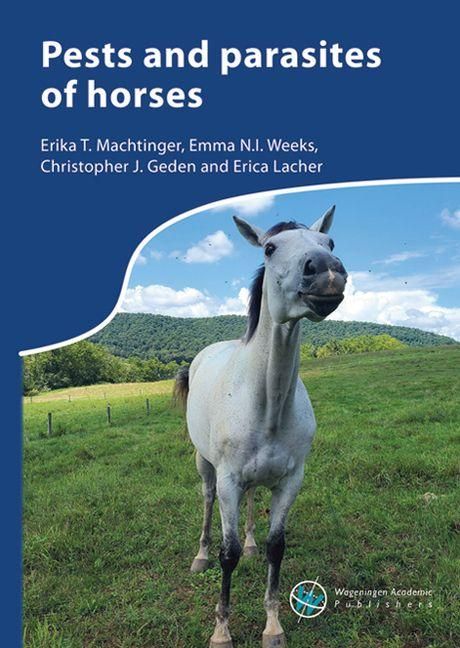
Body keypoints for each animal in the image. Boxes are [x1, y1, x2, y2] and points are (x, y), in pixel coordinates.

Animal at [174, 206, 347, 647]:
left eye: (329, 243)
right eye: (269, 248)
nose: (326, 271)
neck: (266, 404)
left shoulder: (290, 481)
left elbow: (276, 547)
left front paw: (273, 626)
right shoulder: (228, 481)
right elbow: (228, 554)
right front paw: (221, 630)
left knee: (253, 503)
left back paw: (250, 543)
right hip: (205, 465)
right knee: (205, 501)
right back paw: (199, 555)